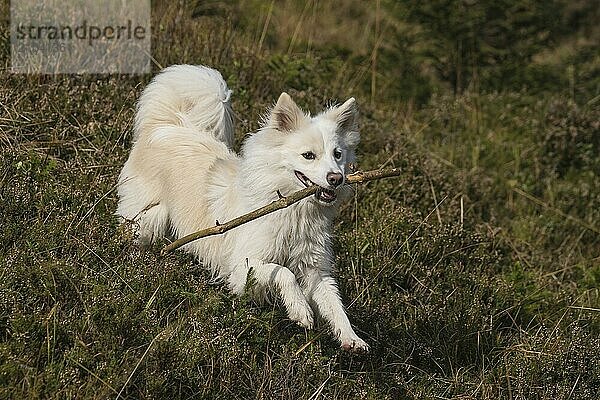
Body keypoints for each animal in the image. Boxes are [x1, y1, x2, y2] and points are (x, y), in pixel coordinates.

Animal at [117, 65, 368, 350]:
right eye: (308, 156)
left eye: (338, 154)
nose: (337, 178)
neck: (294, 211)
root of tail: (166, 125)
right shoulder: (242, 268)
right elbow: (284, 273)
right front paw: (300, 309)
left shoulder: (314, 270)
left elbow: (335, 305)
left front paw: (351, 338)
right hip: (145, 220)